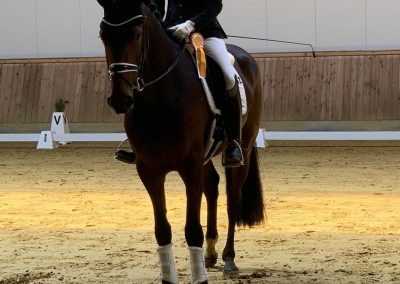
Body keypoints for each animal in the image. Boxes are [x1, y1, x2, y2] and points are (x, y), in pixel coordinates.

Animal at [96, 1, 264, 282]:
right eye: (103, 36)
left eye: (137, 34)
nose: (120, 101)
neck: (160, 96)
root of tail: (246, 57)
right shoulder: (149, 170)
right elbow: (162, 230)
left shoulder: (190, 167)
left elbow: (192, 229)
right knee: (213, 187)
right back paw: (210, 253)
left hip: (245, 146)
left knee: (232, 198)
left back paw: (229, 259)